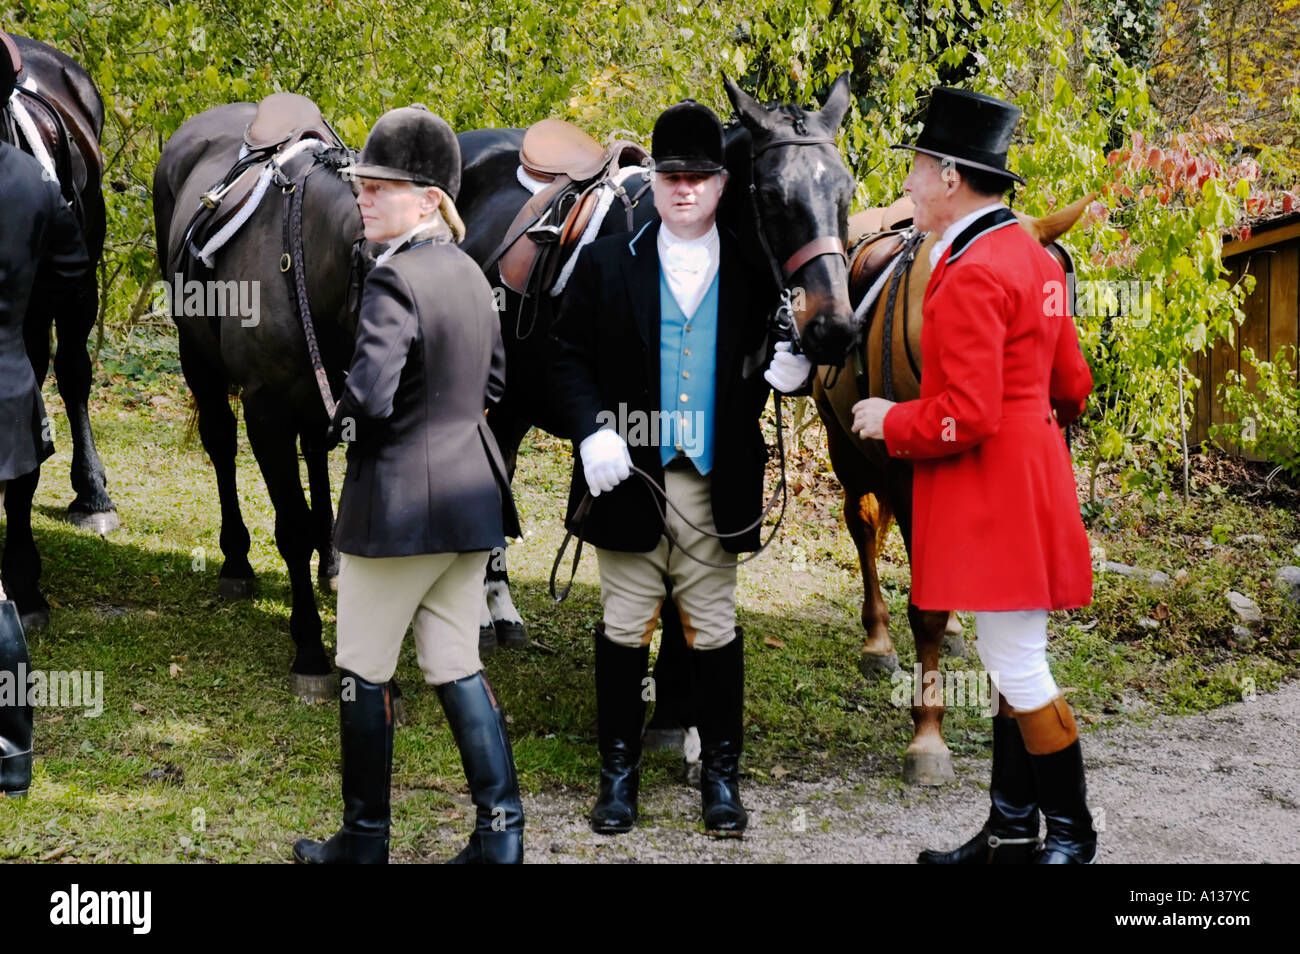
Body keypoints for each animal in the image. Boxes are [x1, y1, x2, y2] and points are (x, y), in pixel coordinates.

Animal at [153, 100, 361, 696]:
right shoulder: (266, 413)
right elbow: (290, 528)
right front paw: (310, 648)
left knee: (314, 453)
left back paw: (329, 562)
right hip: (197, 359)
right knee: (221, 444)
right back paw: (236, 562)